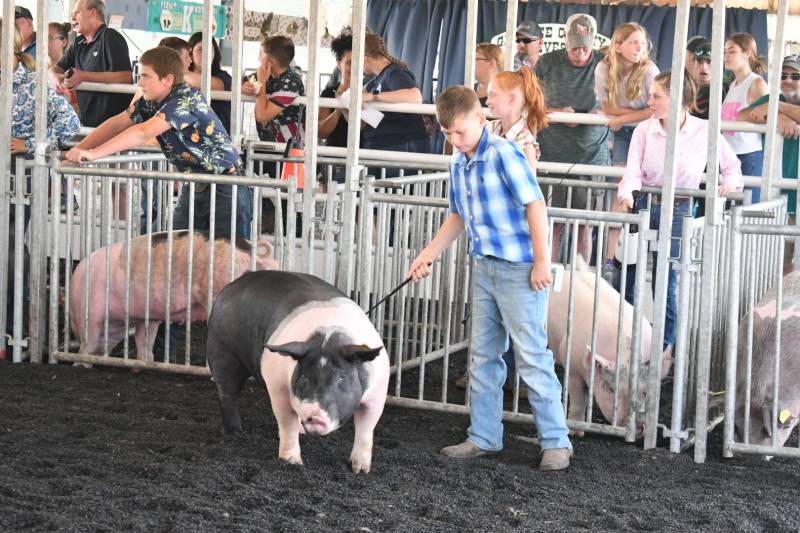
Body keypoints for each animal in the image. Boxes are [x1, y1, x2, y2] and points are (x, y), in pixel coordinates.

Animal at [206, 272, 390, 472]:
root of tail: (234, 285)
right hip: (222, 349)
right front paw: (292, 462)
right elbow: (287, 424)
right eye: (303, 377)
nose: (314, 415)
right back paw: (235, 432)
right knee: (227, 393)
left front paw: (360, 470)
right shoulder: (277, 385)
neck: (328, 335)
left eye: (341, 377)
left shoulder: (378, 392)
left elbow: (366, 429)